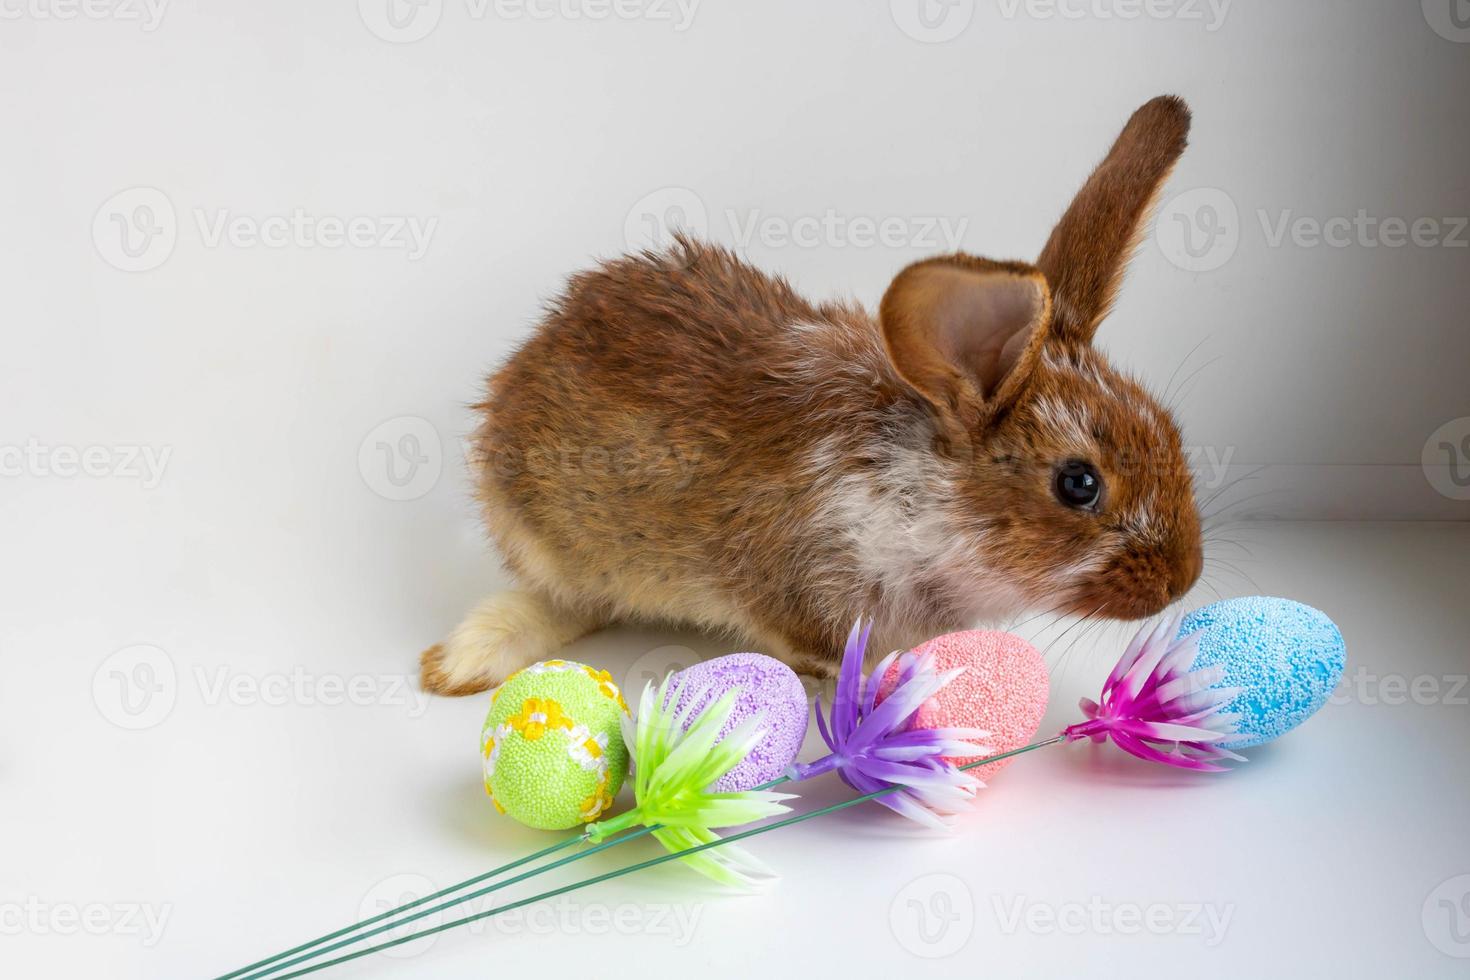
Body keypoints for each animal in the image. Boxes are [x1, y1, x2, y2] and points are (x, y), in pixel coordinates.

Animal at [420, 95, 1199, 693]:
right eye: (1078, 483)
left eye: (1171, 430)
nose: (1183, 580)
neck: (924, 498)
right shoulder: (794, 583)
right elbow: (814, 649)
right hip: (547, 532)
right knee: (571, 598)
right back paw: (461, 663)